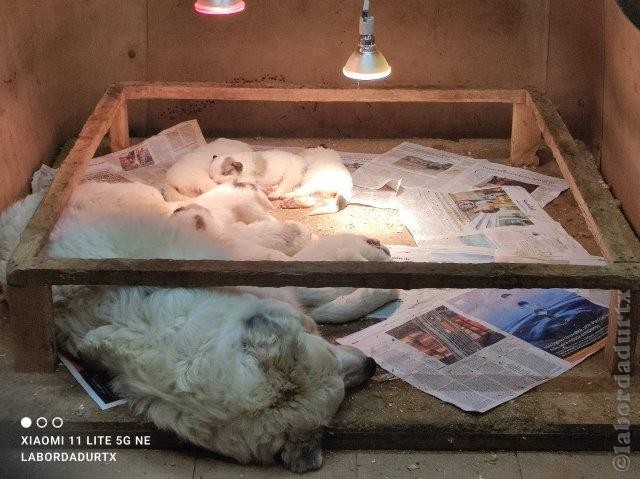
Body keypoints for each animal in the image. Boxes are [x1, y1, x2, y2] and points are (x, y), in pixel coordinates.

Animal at [0, 183, 398, 472]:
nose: (371, 365)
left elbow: (328, 297)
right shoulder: (275, 284)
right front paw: (383, 285)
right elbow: (330, 292)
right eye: (342, 387)